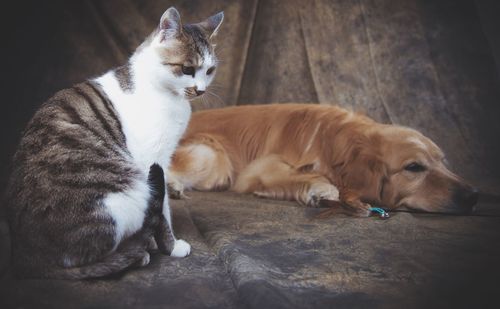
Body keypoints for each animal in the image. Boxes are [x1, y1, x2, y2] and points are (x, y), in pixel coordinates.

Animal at [4, 7, 224, 278]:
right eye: (187, 69)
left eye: (210, 71)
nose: (201, 90)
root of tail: (24, 255)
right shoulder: (153, 162)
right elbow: (163, 209)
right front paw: (171, 246)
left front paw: (156, 241)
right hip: (127, 191)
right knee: (82, 257)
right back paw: (135, 254)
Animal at [169, 102, 480, 215]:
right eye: (414, 167)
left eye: (443, 162)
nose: (474, 195)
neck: (336, 142)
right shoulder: (260, 167)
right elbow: (310, 175)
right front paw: (321, 189)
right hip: (212, 155)